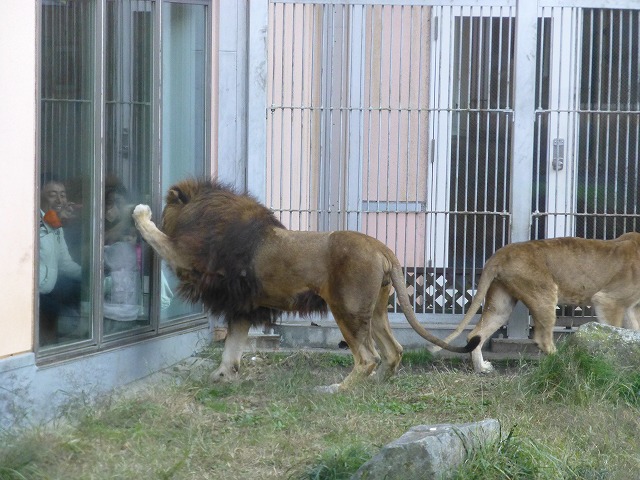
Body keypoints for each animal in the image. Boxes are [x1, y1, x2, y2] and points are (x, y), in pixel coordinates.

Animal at [132, 178, 480, 392]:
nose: (155, 205)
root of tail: (383, 248)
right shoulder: (243, 306)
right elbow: (232, 347)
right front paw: (220, 376)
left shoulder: (188, 261)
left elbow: (156, 236)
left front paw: (140, 211)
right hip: (375, 310)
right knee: (393, 352)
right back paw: (375, 386)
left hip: (347, 309)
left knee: (368, 357)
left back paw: (337, 390)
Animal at [432, 233, 640, 373]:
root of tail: (502, 252)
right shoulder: (609, 300)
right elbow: (613, 332)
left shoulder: (631, 308)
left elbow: (634, 330)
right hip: (545, 293)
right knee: (542, 339)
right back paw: (565, 364)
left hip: (501, 304)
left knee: (475, 334)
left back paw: (481, 368)